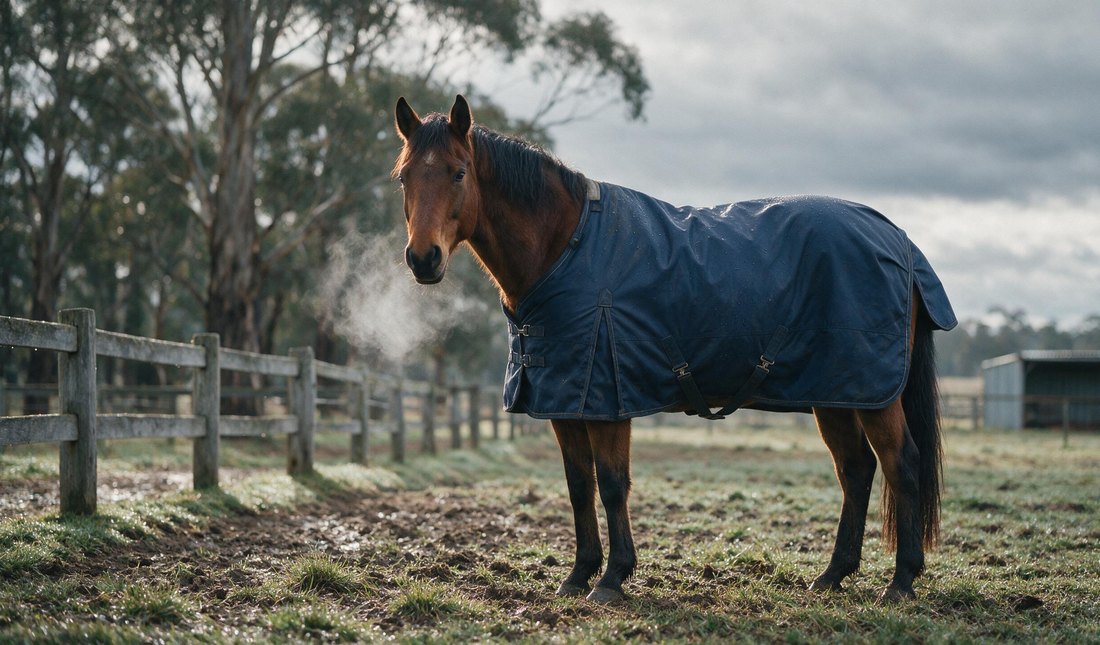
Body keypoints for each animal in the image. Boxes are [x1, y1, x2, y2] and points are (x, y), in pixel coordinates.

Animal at [392, 94, 957, 604]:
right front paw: (578, 575)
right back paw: (833, 575)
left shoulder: (608, 400)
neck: (567, 248)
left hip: (873, 395)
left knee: (901, 464)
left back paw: (900, 583)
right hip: (836, 393)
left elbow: (612, 484)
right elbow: (579, 486)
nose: (423, 259)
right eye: (403, 176)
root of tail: (899, 240)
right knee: (856, 471)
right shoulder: (565, 402)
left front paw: (612, 579)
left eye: (459, 172)